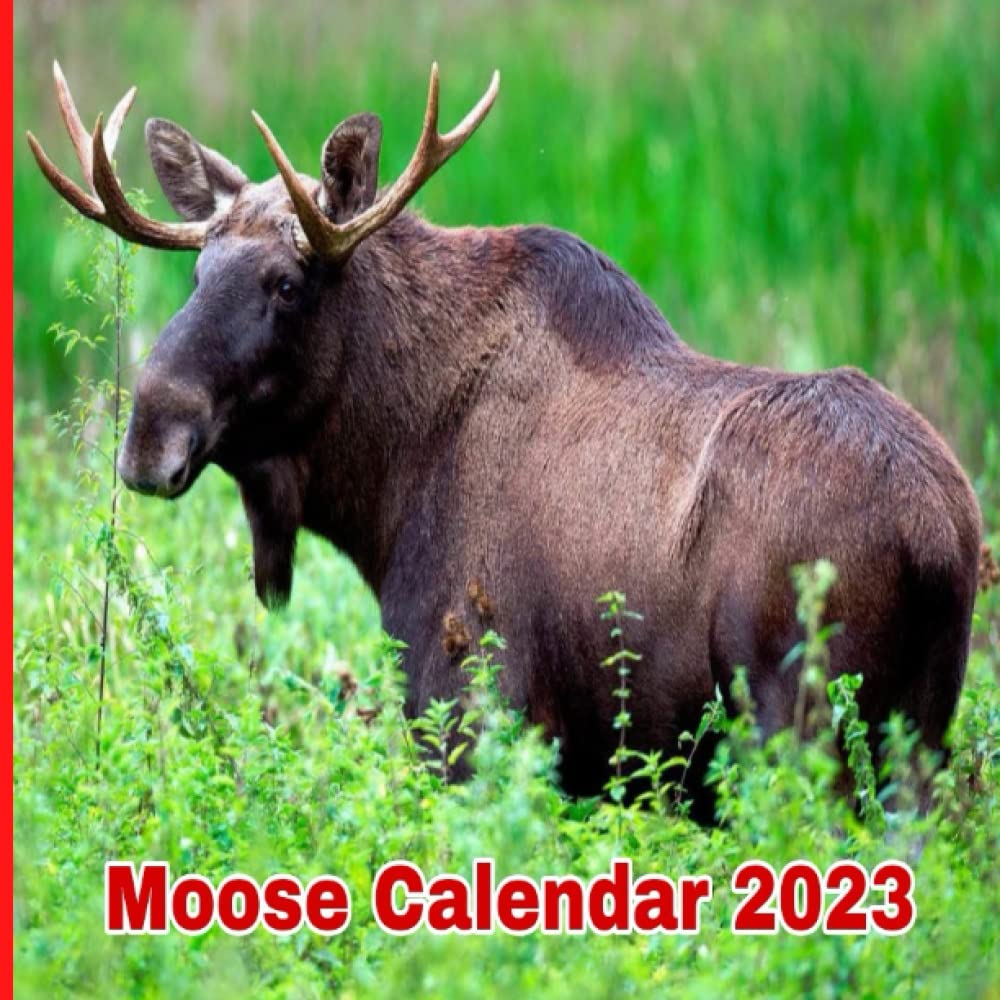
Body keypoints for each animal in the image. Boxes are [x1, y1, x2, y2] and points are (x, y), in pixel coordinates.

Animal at [27, 62, 981, 819]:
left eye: (288, 282)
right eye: (196, 271)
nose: (149, 431)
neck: (384, 483)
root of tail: (940, 538)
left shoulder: (469, 707)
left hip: (797, 724)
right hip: (920, 742)